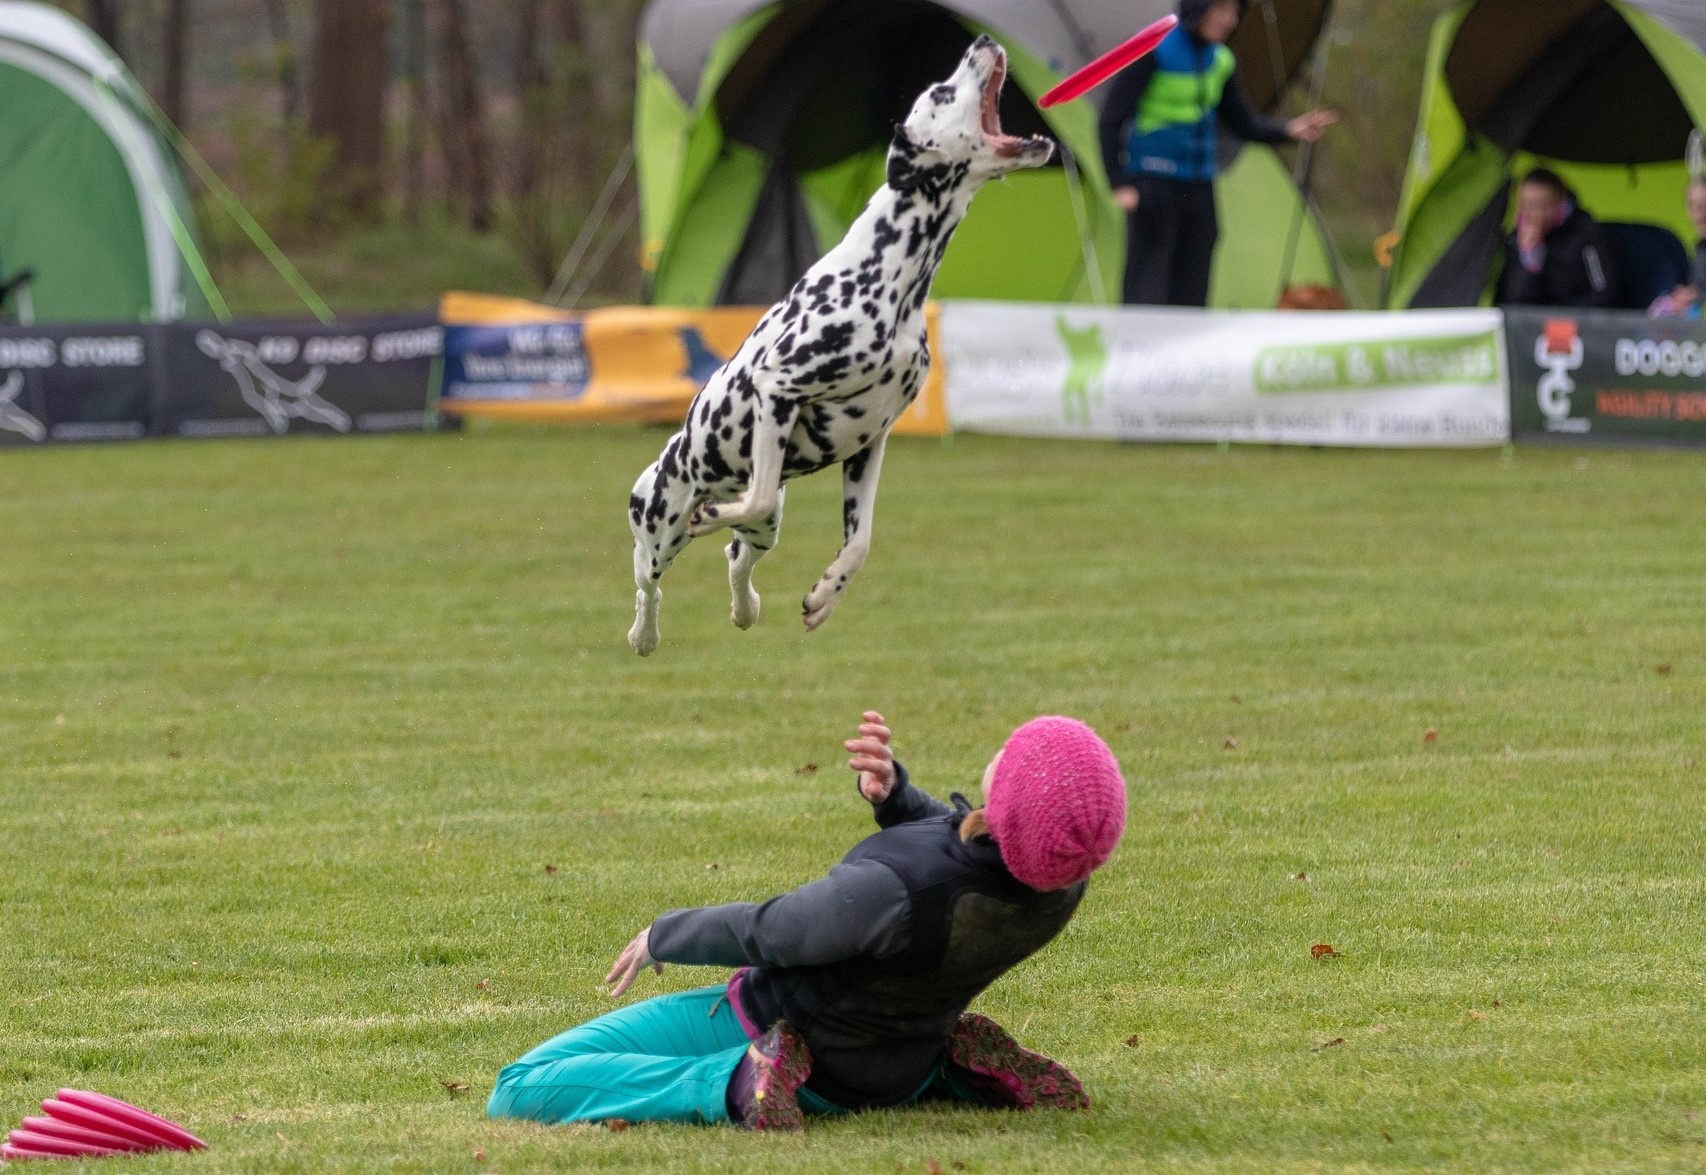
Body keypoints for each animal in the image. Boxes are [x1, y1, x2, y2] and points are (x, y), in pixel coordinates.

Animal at [626, 36, 1053, 655]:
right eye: (940, 93)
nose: (982, 41)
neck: (893, 274)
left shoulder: (869, 443)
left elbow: (860, 541)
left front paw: (825, 595)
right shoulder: (777, 386)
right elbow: (753, 494)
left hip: (768, 528)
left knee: (737, 557)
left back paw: (746, 608)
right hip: (658, 524)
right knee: (649, 582)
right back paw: (645, 632)